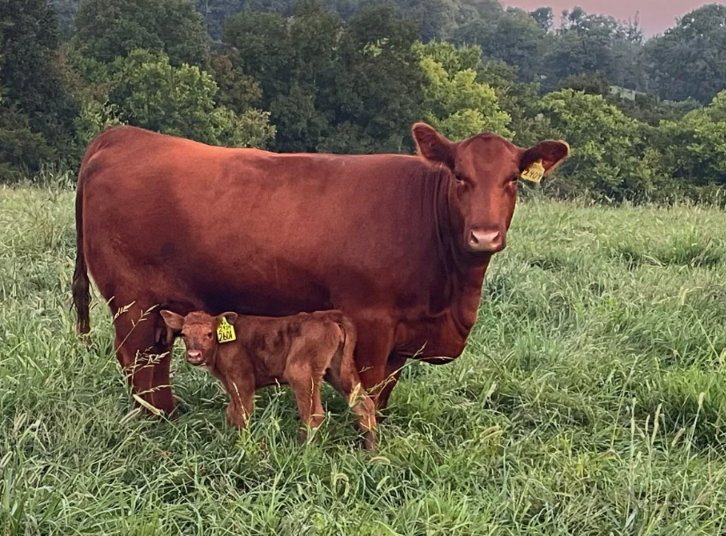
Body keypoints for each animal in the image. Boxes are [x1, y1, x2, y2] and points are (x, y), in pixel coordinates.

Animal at [72, 123, 569, 418]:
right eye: (460, 177)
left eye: (511, 180)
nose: (484, 236)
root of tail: (124, 135)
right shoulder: (370, 322)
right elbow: (367, 389)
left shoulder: (403, 335)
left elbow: (385, 391)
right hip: (133, 302)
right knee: (139, 362)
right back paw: (156, 421)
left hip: (157, 308)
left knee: (154, 362)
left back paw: (170, 414)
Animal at [159, 309, 376, 450]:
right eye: (184, 334)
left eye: (209, 333)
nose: (194, 355)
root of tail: (328, 315)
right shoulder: (230, 382)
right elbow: (231, 411)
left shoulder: (241, 378)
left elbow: (242, 413)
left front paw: (242, 447)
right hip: (337, 370)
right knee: (364, 405)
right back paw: (370, 451)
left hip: (301, 372)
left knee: (313, 414)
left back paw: (303, 451)